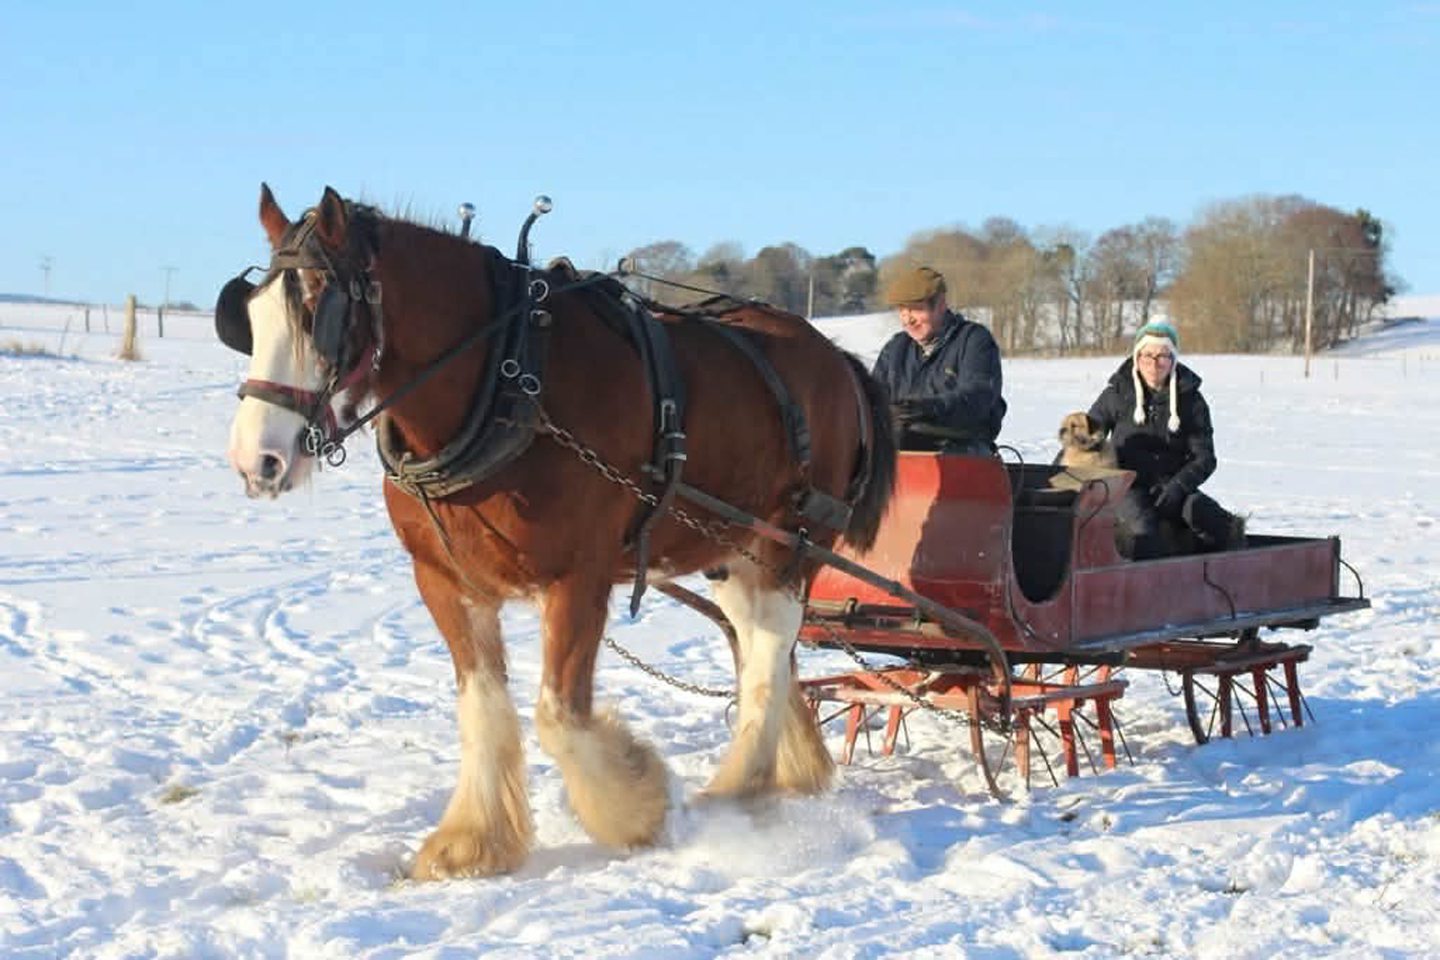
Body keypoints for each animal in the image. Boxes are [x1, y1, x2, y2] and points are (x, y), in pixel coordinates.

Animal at [221, 184, 897, 880]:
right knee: (762, 640)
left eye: (317, 309)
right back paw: (789, 769)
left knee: (770, 643)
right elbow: (482, 707)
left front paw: (640, 805)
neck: (508, 380)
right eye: (249, 315)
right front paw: (471, 841)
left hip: (792, 540)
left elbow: (558, 715)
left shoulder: (580, 578)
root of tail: (837, 358)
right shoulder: (445, 581)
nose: (256, 460)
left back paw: (740, 788)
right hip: (736, 551)